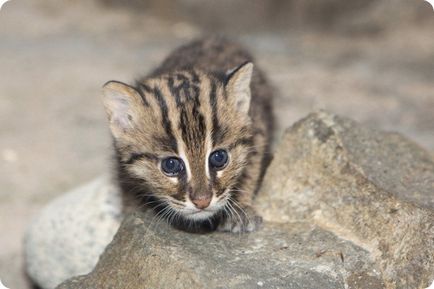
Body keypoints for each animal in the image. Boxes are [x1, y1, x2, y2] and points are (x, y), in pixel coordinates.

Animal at [100, 37, 272, 232]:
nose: (202, 201)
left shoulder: (258, 129)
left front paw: (239, 209)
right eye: (171, 165)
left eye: (219, 157)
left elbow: (250, 168)